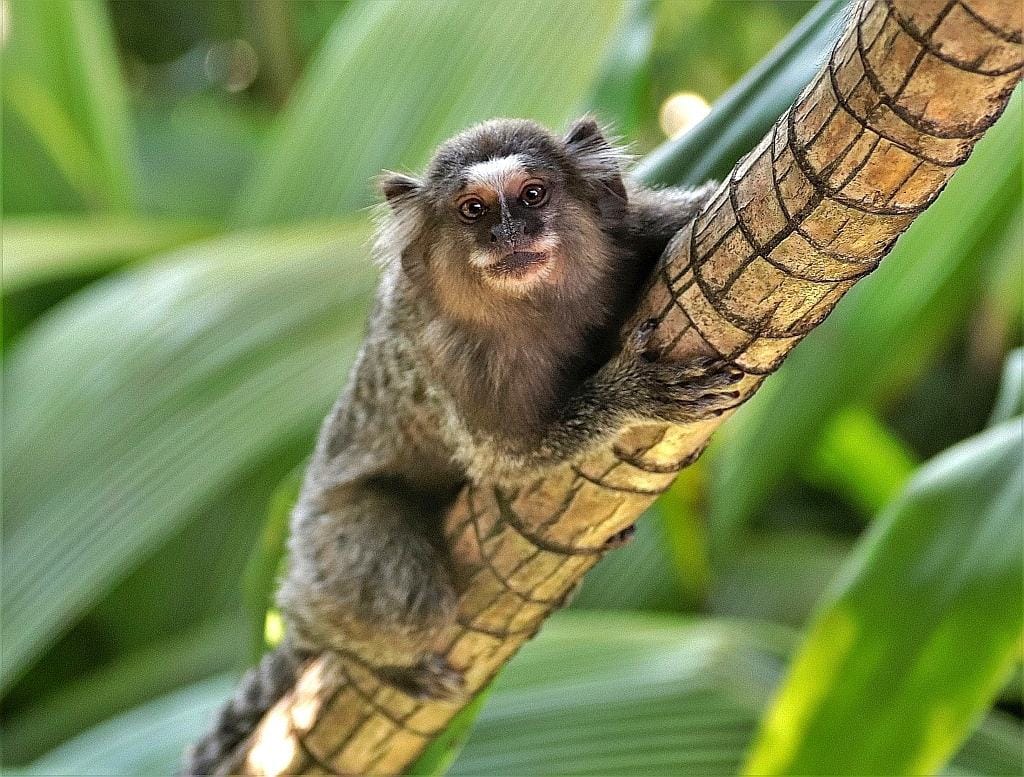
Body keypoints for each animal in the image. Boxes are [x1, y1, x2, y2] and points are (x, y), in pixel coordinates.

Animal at [184, 116, 741, 775]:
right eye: (473, 209)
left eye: (533, 195)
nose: (510, 233)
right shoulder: (455, 360)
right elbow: (507, 456)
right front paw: (631, 392)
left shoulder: (640, 226)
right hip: (327, 536)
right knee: (406, 605)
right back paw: (348, 645)